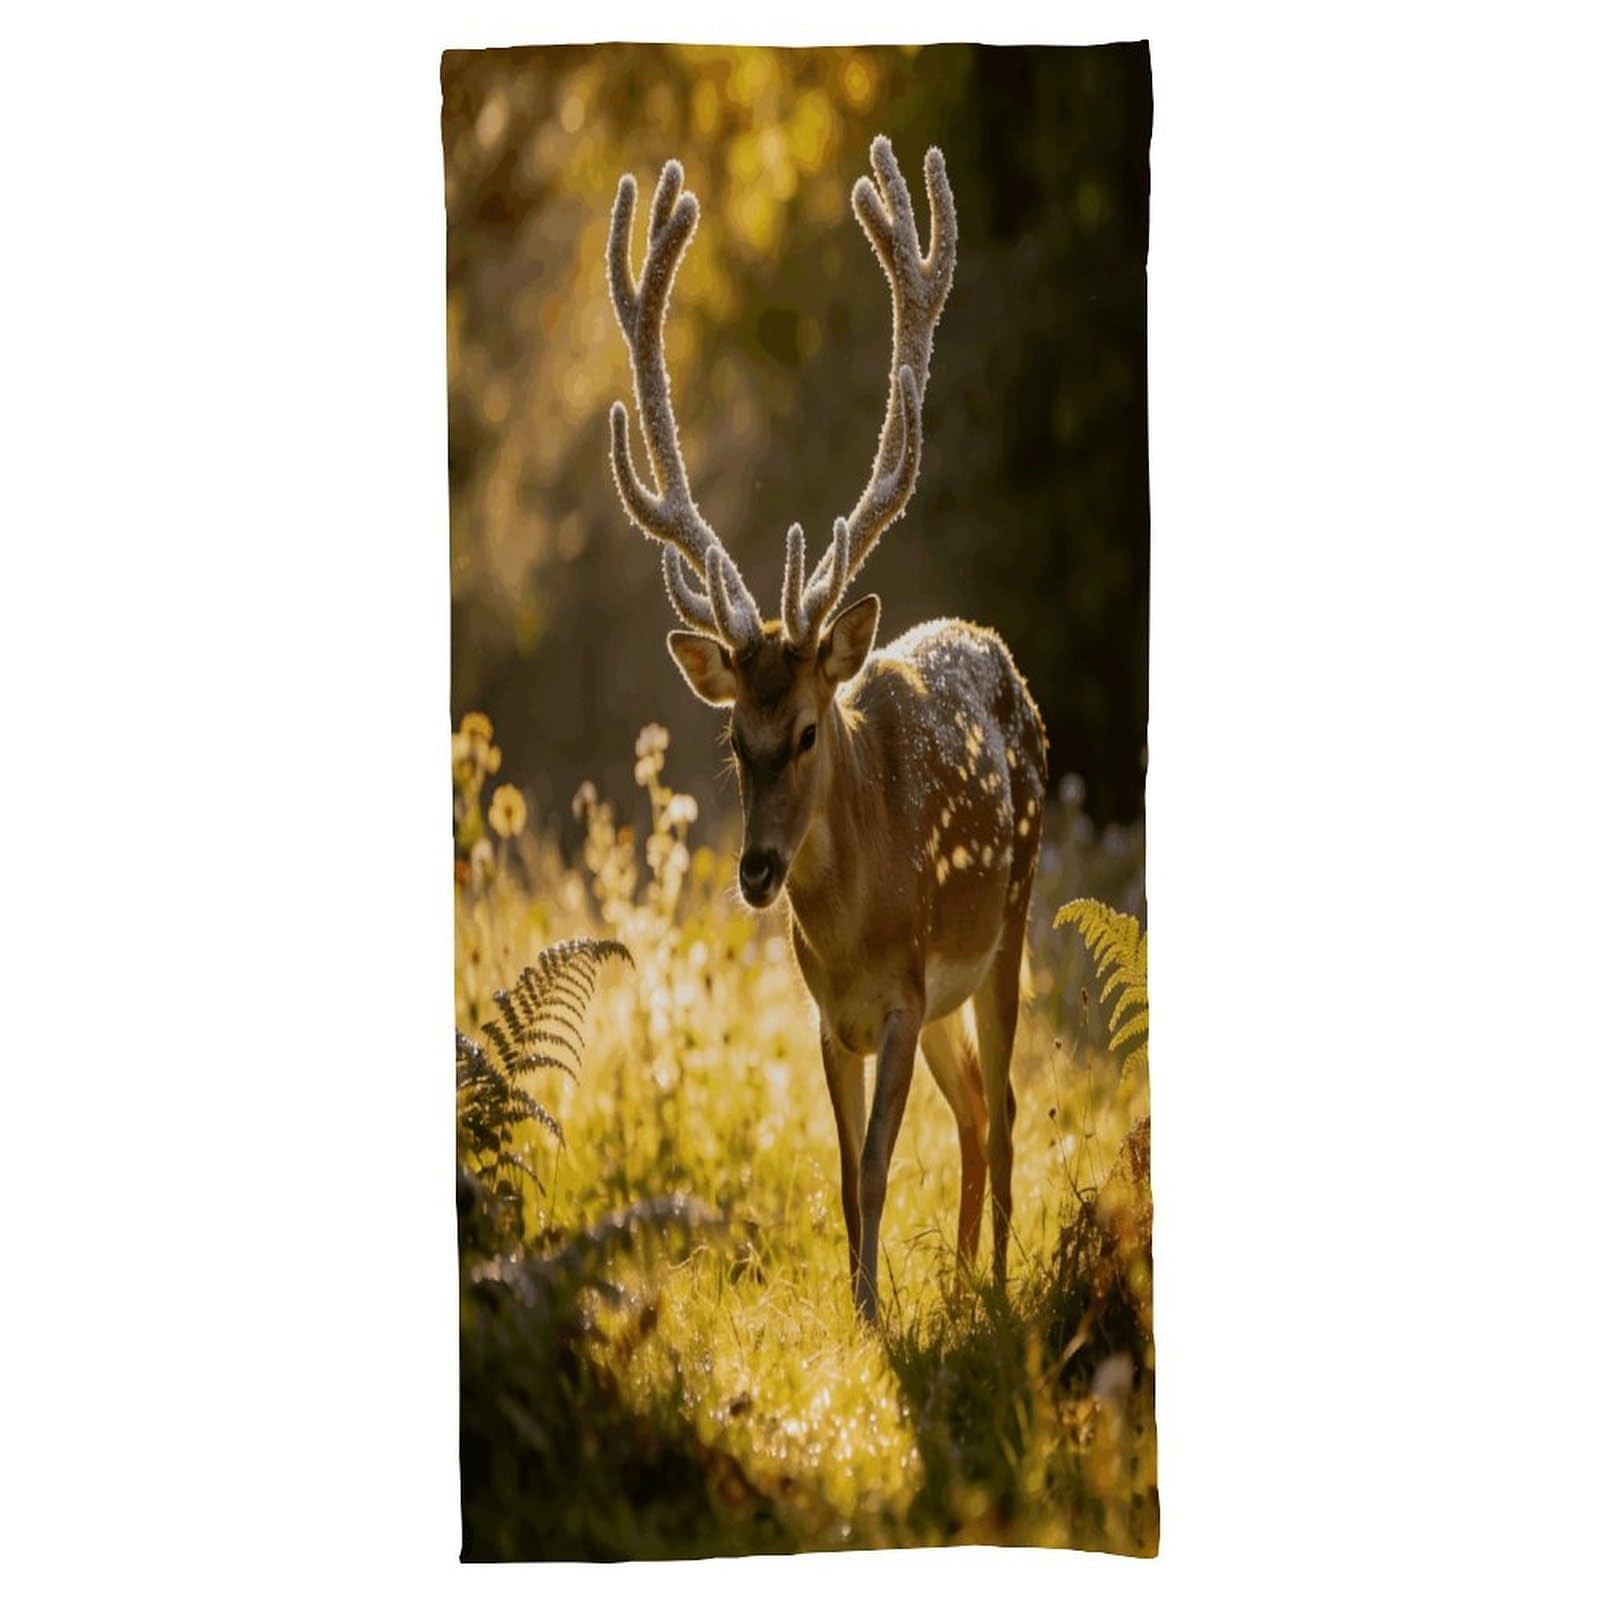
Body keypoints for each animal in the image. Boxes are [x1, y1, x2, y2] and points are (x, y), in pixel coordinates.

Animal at [604, 136, 1048, 1323]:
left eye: (807, 731)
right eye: (732, 738)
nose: (758, 871)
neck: (850, 927)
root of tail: (994, 645)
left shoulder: (899, 995)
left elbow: (882, 1167)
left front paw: (876, 1316)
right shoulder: (825, 1013)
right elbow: (846, 1176)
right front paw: (867, 1310)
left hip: (1007, 923)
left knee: (1009, 1102)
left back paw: (993, 1285)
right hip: (948, 998)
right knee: (976, 1108)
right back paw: (960, 1279)